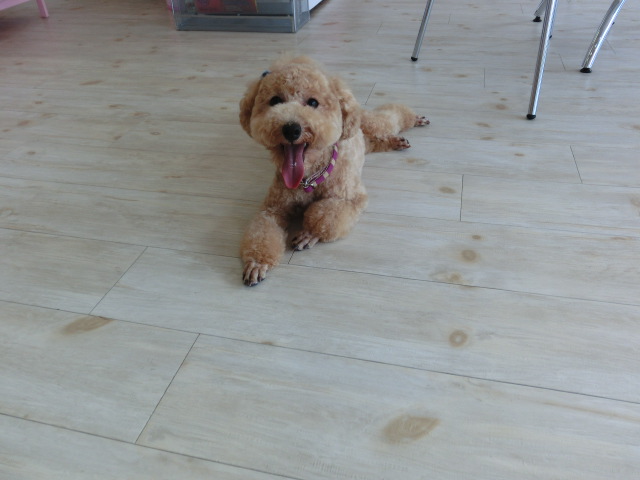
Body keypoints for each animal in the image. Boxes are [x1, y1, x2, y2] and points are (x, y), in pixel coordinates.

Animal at [239, 55, 428, 286]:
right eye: (275, 100)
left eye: (313, 102)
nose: (291, 129)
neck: (310, 176)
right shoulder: (273, 209)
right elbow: (262, 231)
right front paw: (257, 262)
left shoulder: (351, 198)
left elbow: (325, 215)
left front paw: (309, 233)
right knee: (375, 142)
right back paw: (395, 142)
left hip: (370, 122)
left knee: (391, 117)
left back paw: (413, 119)